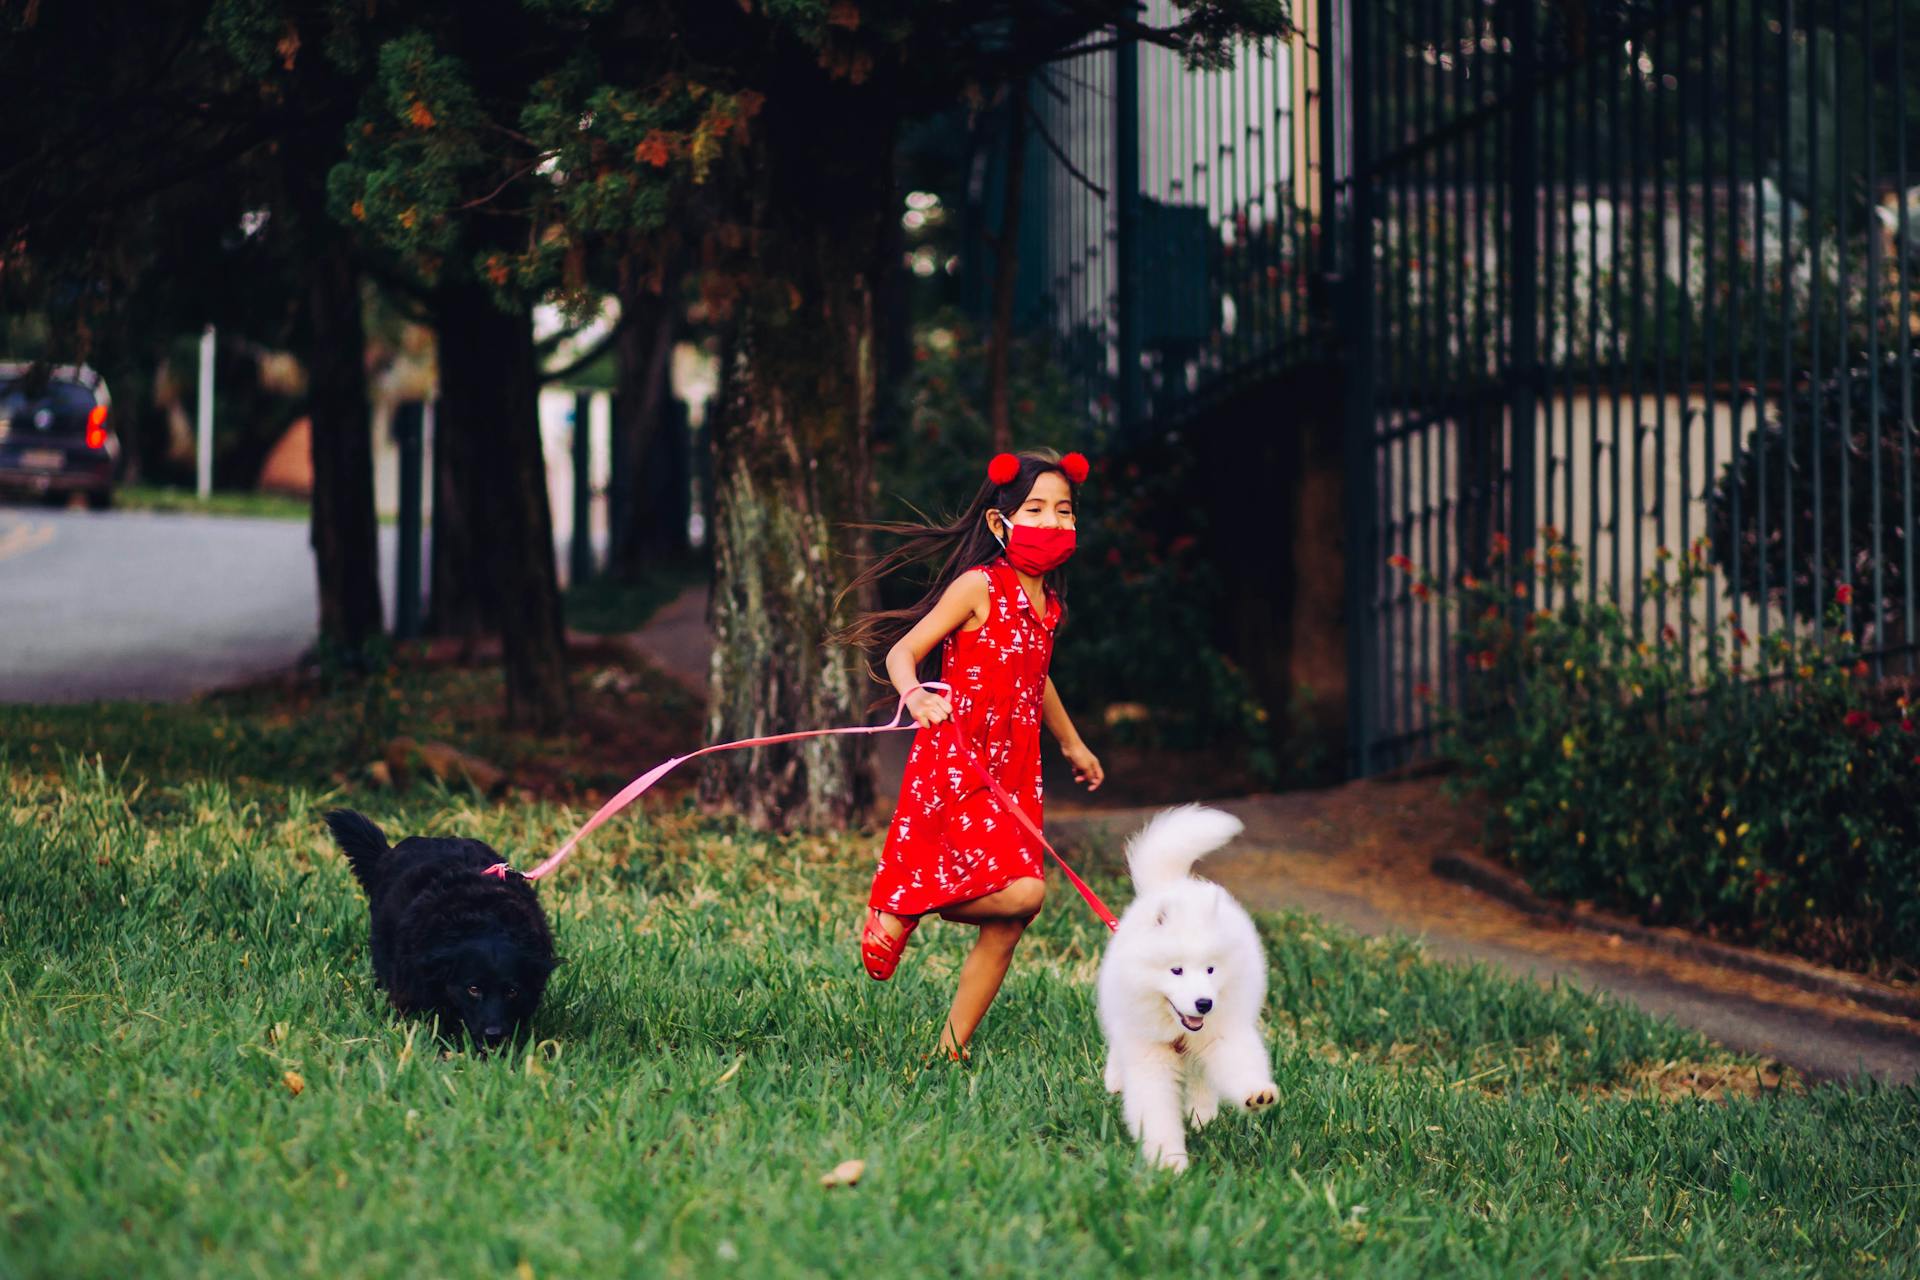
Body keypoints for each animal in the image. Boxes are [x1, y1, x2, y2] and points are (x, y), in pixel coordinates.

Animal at [1098, 805, 1274, 1174]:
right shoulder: (1148, 1052)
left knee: (1201, 1076)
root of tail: (1176, 884)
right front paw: (1170, 1162)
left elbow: (1240, 1064)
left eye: (1210, 969)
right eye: (1176, 970)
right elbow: (1156, 1111)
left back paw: (1203, 1115)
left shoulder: (1223, 1033)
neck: (1177, 1029)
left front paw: (1256, 1095)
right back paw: (1116, 1080)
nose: (1204, 1003)